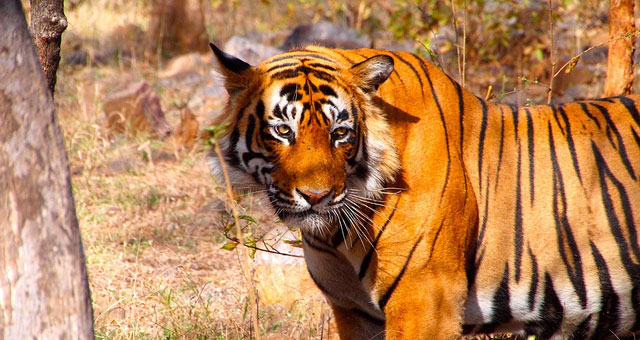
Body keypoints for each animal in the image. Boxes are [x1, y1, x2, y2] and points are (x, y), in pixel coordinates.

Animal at [209, 43, 640, 340]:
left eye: (340, 134)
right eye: (283, 130)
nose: (317, 197)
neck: (335, 234)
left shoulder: (426, 299)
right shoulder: (353, 310)